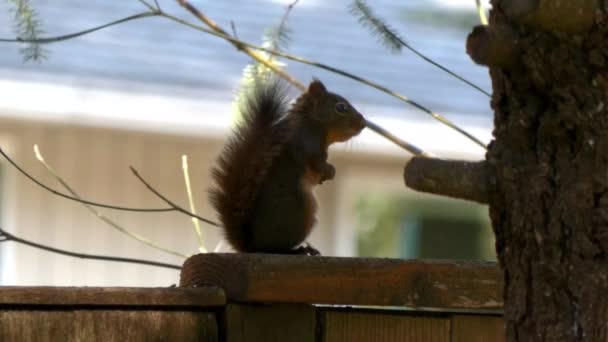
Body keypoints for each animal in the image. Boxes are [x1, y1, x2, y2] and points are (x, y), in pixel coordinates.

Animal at [209, 77, 366, 254]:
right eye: (341, 107)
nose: (363, 123)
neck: (312, 122)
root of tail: (252, 245)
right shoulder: (308, 142)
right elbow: (318, 163)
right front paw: (330, 171)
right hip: (301, 211)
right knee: (278, 248)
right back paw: (300, 250)